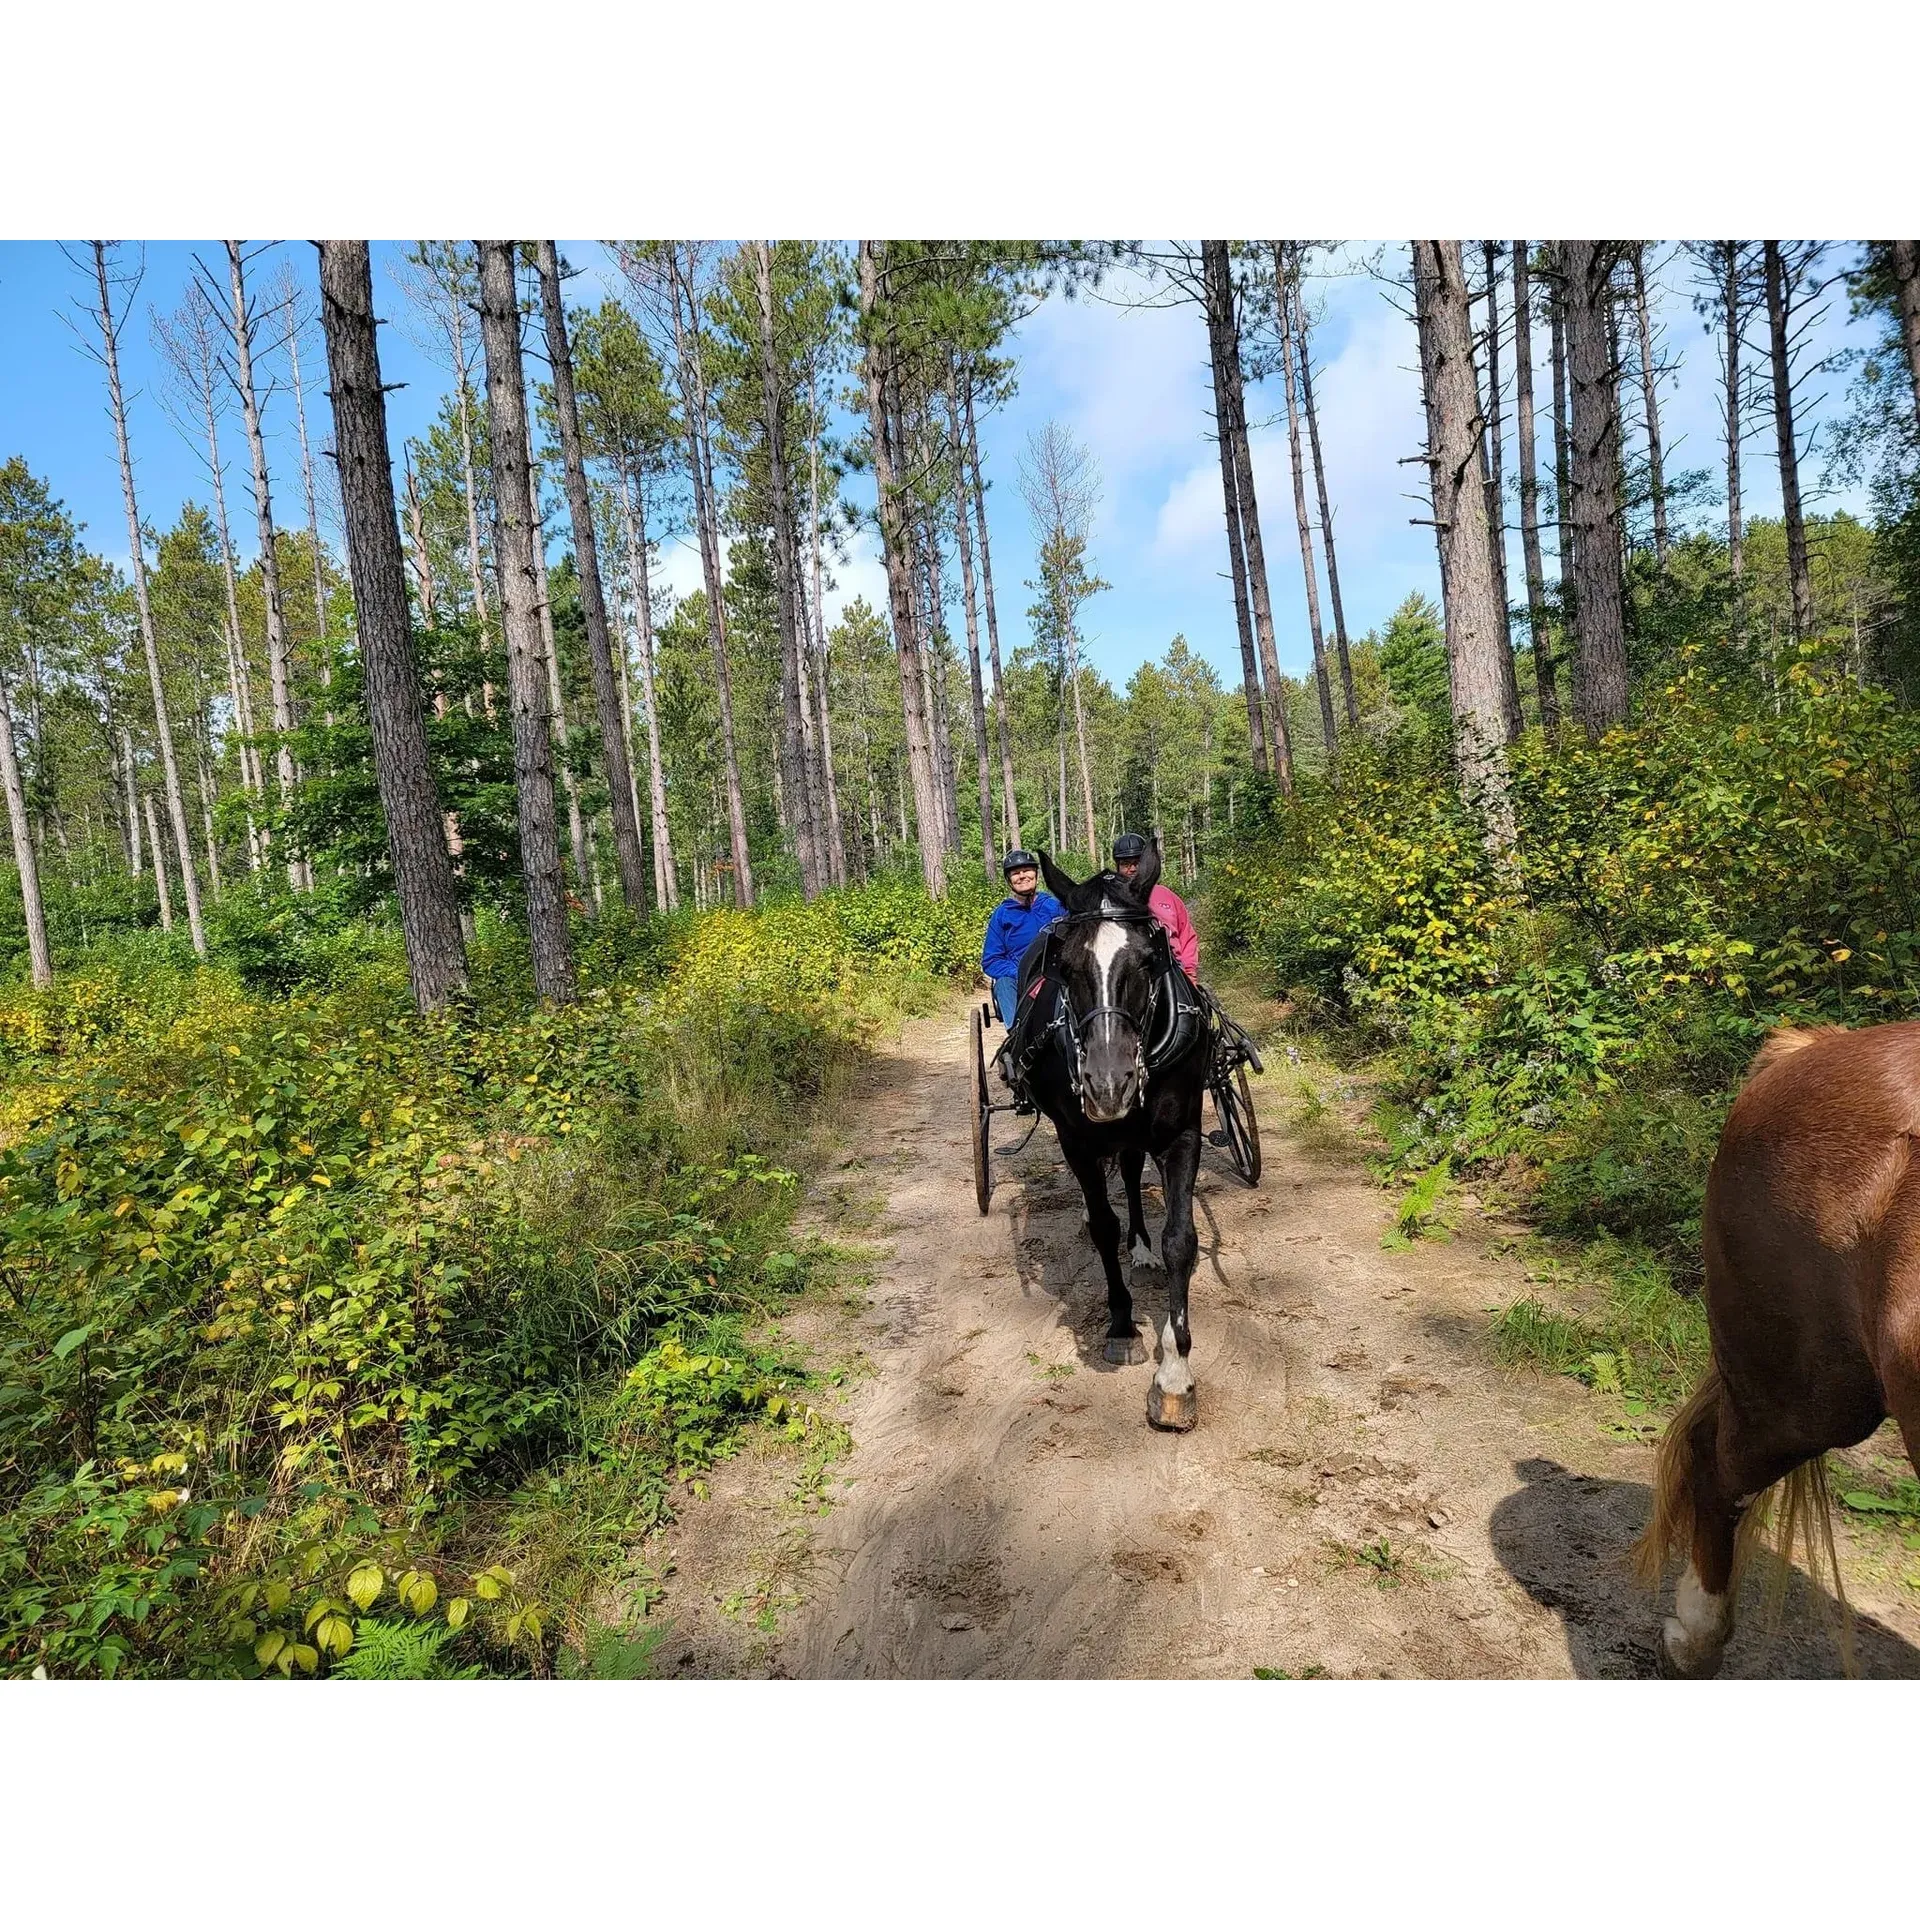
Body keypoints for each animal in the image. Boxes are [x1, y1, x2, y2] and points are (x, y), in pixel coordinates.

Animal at [1013, 852, 1205, 1428]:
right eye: (1066, 967)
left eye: (1147, 961)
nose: (1106, 1083)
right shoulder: (1076, 1139)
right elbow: (1102, 1226)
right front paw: (1122, 1326)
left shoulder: (1182, 1134)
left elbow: (1179, 1240)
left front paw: (1175, 1371)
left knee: (1130, 1166)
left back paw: (1139, 1244)